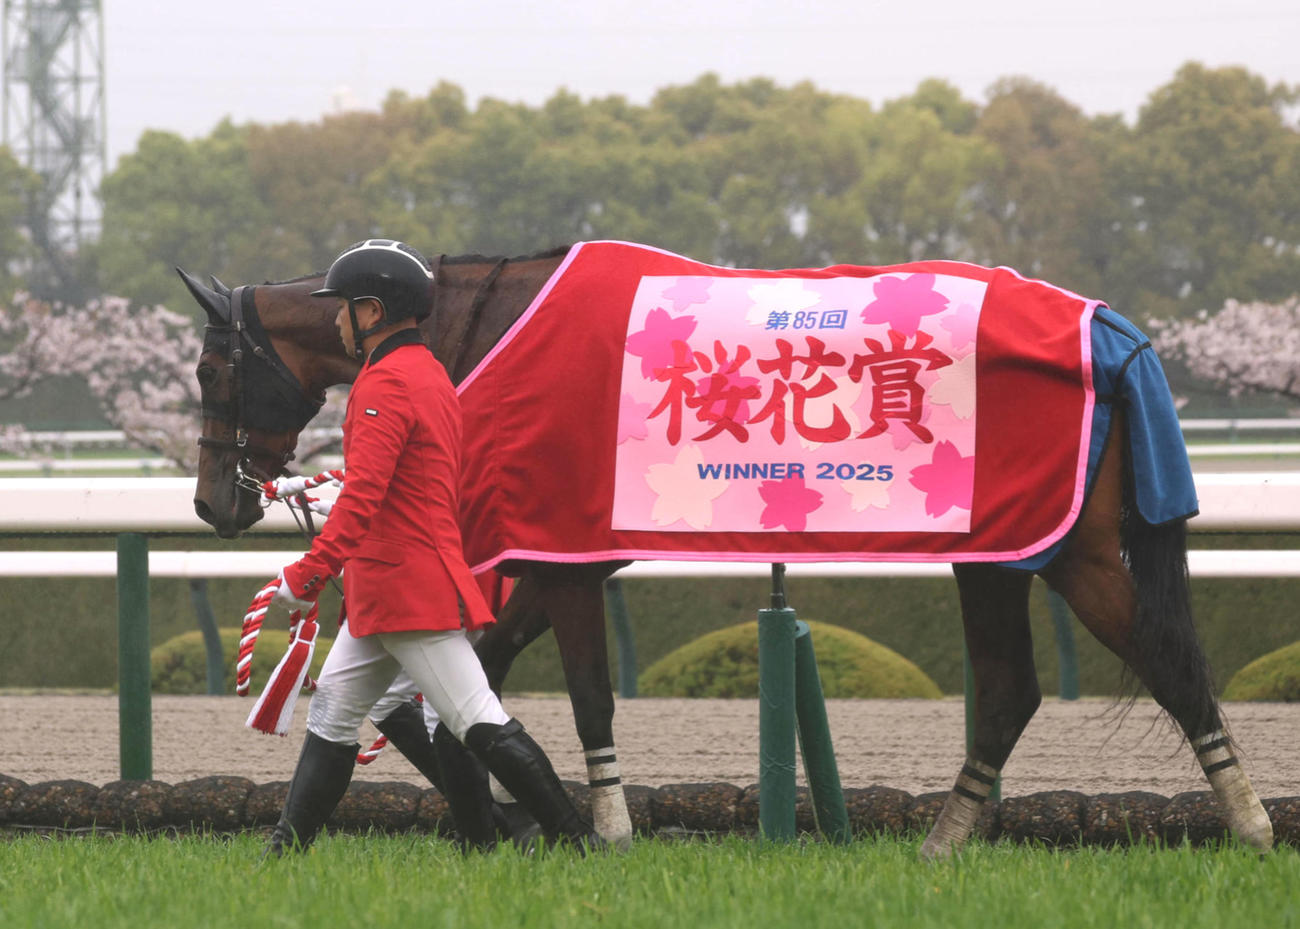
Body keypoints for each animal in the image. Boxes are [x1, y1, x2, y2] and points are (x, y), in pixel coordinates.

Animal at [179, 243, 1273, 857]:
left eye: (209, 369)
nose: (211, 502)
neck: (488, 323)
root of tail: (1107, 324)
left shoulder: (559, 550)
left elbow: (578, 695)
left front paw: (596, 829)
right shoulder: (536, 549)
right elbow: (443, 702)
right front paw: (508, 825)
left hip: (1065, 546)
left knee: (1163, 661)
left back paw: (1253, 825)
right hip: (999, 550)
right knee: (1012, 688)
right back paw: (945, 841)